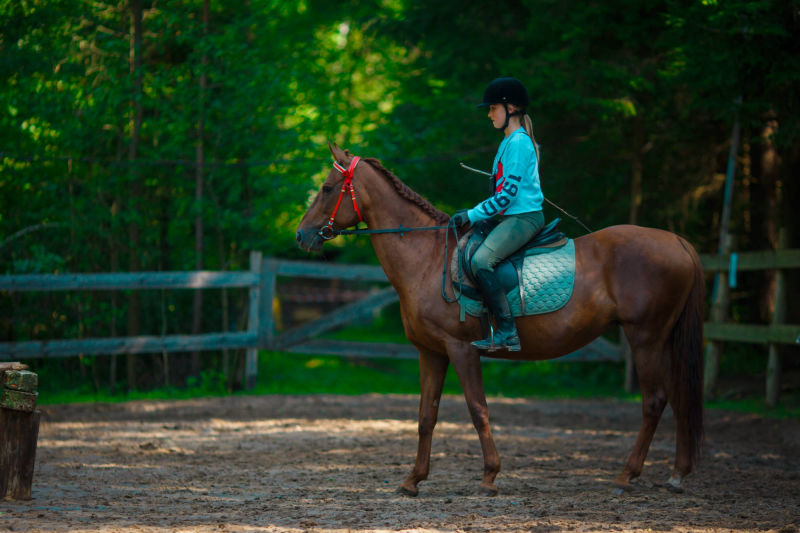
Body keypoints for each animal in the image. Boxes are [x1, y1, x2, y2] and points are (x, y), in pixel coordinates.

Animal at [296, 143, 704, 496]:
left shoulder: (461, 349)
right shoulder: (431, 353)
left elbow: (478, 410)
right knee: (679, 396)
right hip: (663, 339)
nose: (302, 235)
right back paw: (677, 475)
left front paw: (489, 477)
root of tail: (679, 242)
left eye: (327, 188)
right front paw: (413, 480)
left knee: (654, 401)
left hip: (646, 337)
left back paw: (626, 475)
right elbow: (426, 416)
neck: (427, 259)